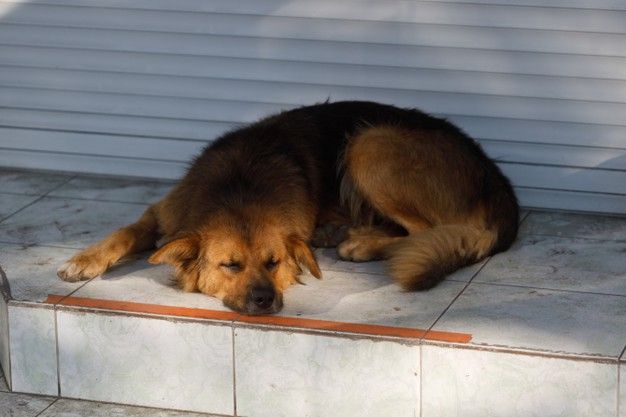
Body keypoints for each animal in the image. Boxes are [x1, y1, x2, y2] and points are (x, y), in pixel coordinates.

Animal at [58, 101, 516, 314]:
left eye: (274, 262)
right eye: (230, 265)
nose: (264, 301)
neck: (239, 187)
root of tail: (498, 182)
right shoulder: (165, 211)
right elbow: (127, 231)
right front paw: (85, 260)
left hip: (370, 143)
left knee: (427, 231)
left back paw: (359, 242)